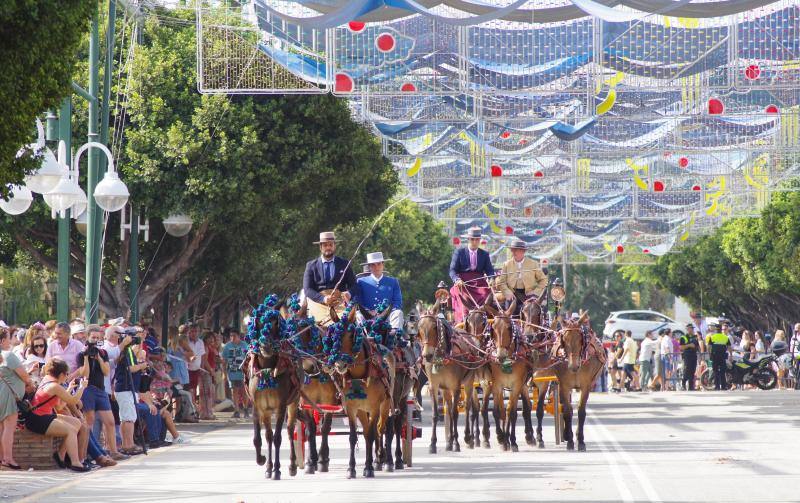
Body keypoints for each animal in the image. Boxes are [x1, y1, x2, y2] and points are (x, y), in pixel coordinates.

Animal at [247, 300, 300, 480]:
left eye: (276, 322)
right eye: (258, 322)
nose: (266, 346)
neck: (267, 370)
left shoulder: (281, 405)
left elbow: (277, 438)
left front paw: (277, 469)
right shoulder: (261, 407)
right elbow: (264, 437)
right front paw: (266, 465)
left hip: (294, 401)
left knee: (290, 430)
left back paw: (292, 465)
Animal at [324, 304, 396, 480]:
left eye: (352, 335)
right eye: (333, 336)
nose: (340, 364)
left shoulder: (375, 407)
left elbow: (371, 434)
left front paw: (369, 467)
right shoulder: (351, 408)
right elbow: (353, 436)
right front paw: (351, 468)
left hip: (386, 404)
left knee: (381, 429)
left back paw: (384, 460)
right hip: (362, 410)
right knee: (367, 431)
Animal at [418, 304, 482, 456]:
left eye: (434, 327)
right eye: (419, 328)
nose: (427, 355)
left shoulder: (456, 386)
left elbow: (455, 413)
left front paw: (457, 443)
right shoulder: (434, 386)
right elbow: (436, 414)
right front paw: (433, 444)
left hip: (469, 381)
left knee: (468, 407)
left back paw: (467, 437)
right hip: (445, 389)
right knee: (450, 406)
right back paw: (449, 442)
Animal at [536, 314, 604, 450]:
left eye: (581, 340)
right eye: (564, 340)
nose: (573, 366)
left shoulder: (586, 386)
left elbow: (581, 412)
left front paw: (581, 441)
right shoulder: (564, 385)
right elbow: (567, 411)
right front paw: (571, 442)